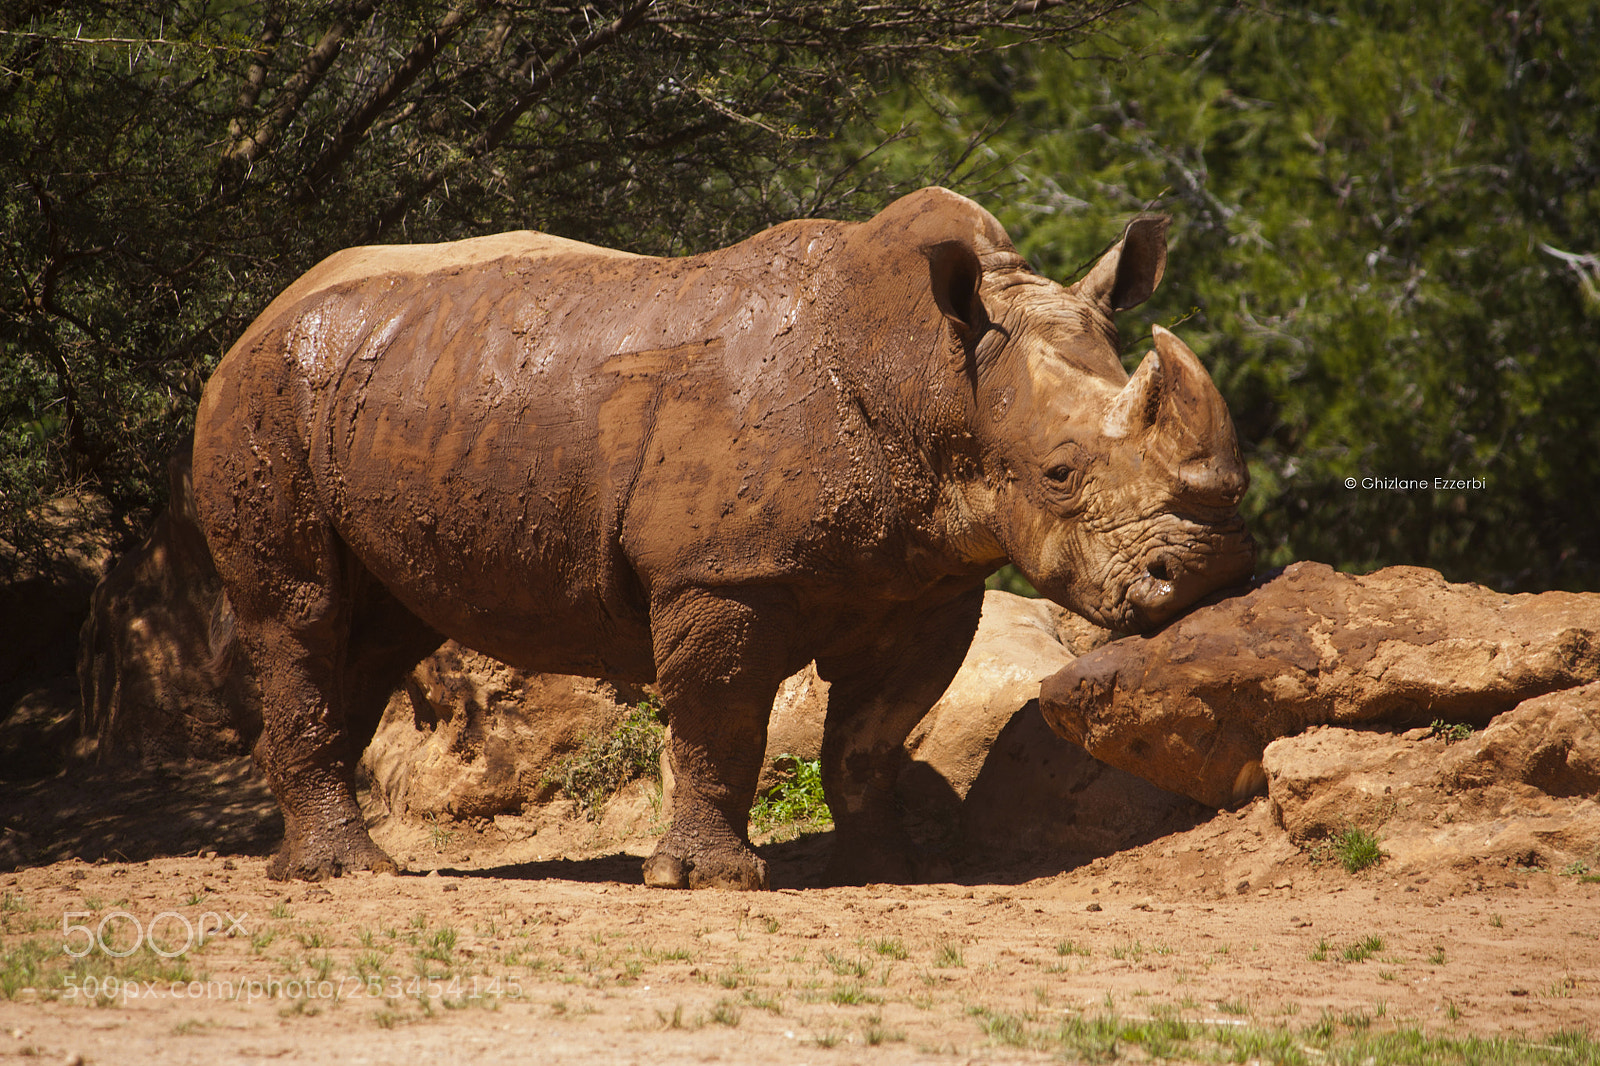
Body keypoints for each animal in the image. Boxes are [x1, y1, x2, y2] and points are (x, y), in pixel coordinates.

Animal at [192, 187, 1254, 888]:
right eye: (1060, 473)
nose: (1202, 576)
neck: (935, 377)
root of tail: (260, 316)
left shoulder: (925, 582)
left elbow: (874, 730)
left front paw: (889, 867)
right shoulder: (720, 574)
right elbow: (721, 715)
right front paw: (709, 881)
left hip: (387, 397)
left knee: (377, 631)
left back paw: (316, 860)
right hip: (262, 397)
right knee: (299, 613)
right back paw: (344, 874)